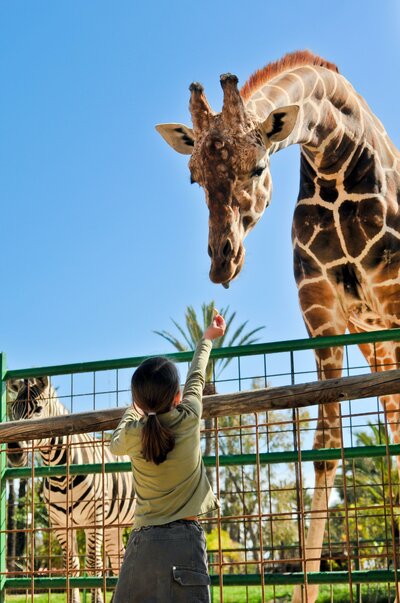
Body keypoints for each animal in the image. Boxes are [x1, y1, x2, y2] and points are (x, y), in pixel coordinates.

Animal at [7, 378, 136, 603]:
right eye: (13, 410)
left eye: (38, 409)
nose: (14, 452)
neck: (60, 475)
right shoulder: (59, 523)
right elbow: (72, 567)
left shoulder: (94, 517)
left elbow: (94, 566)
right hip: (113, 524)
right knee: (118, 557)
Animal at [155, 49, 400, 600]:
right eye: (194, 178)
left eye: (260, 165)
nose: (222, 262)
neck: (336, 162)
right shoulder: (320, 307)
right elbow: (326, 447)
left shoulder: (394, 292)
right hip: (375, 342)